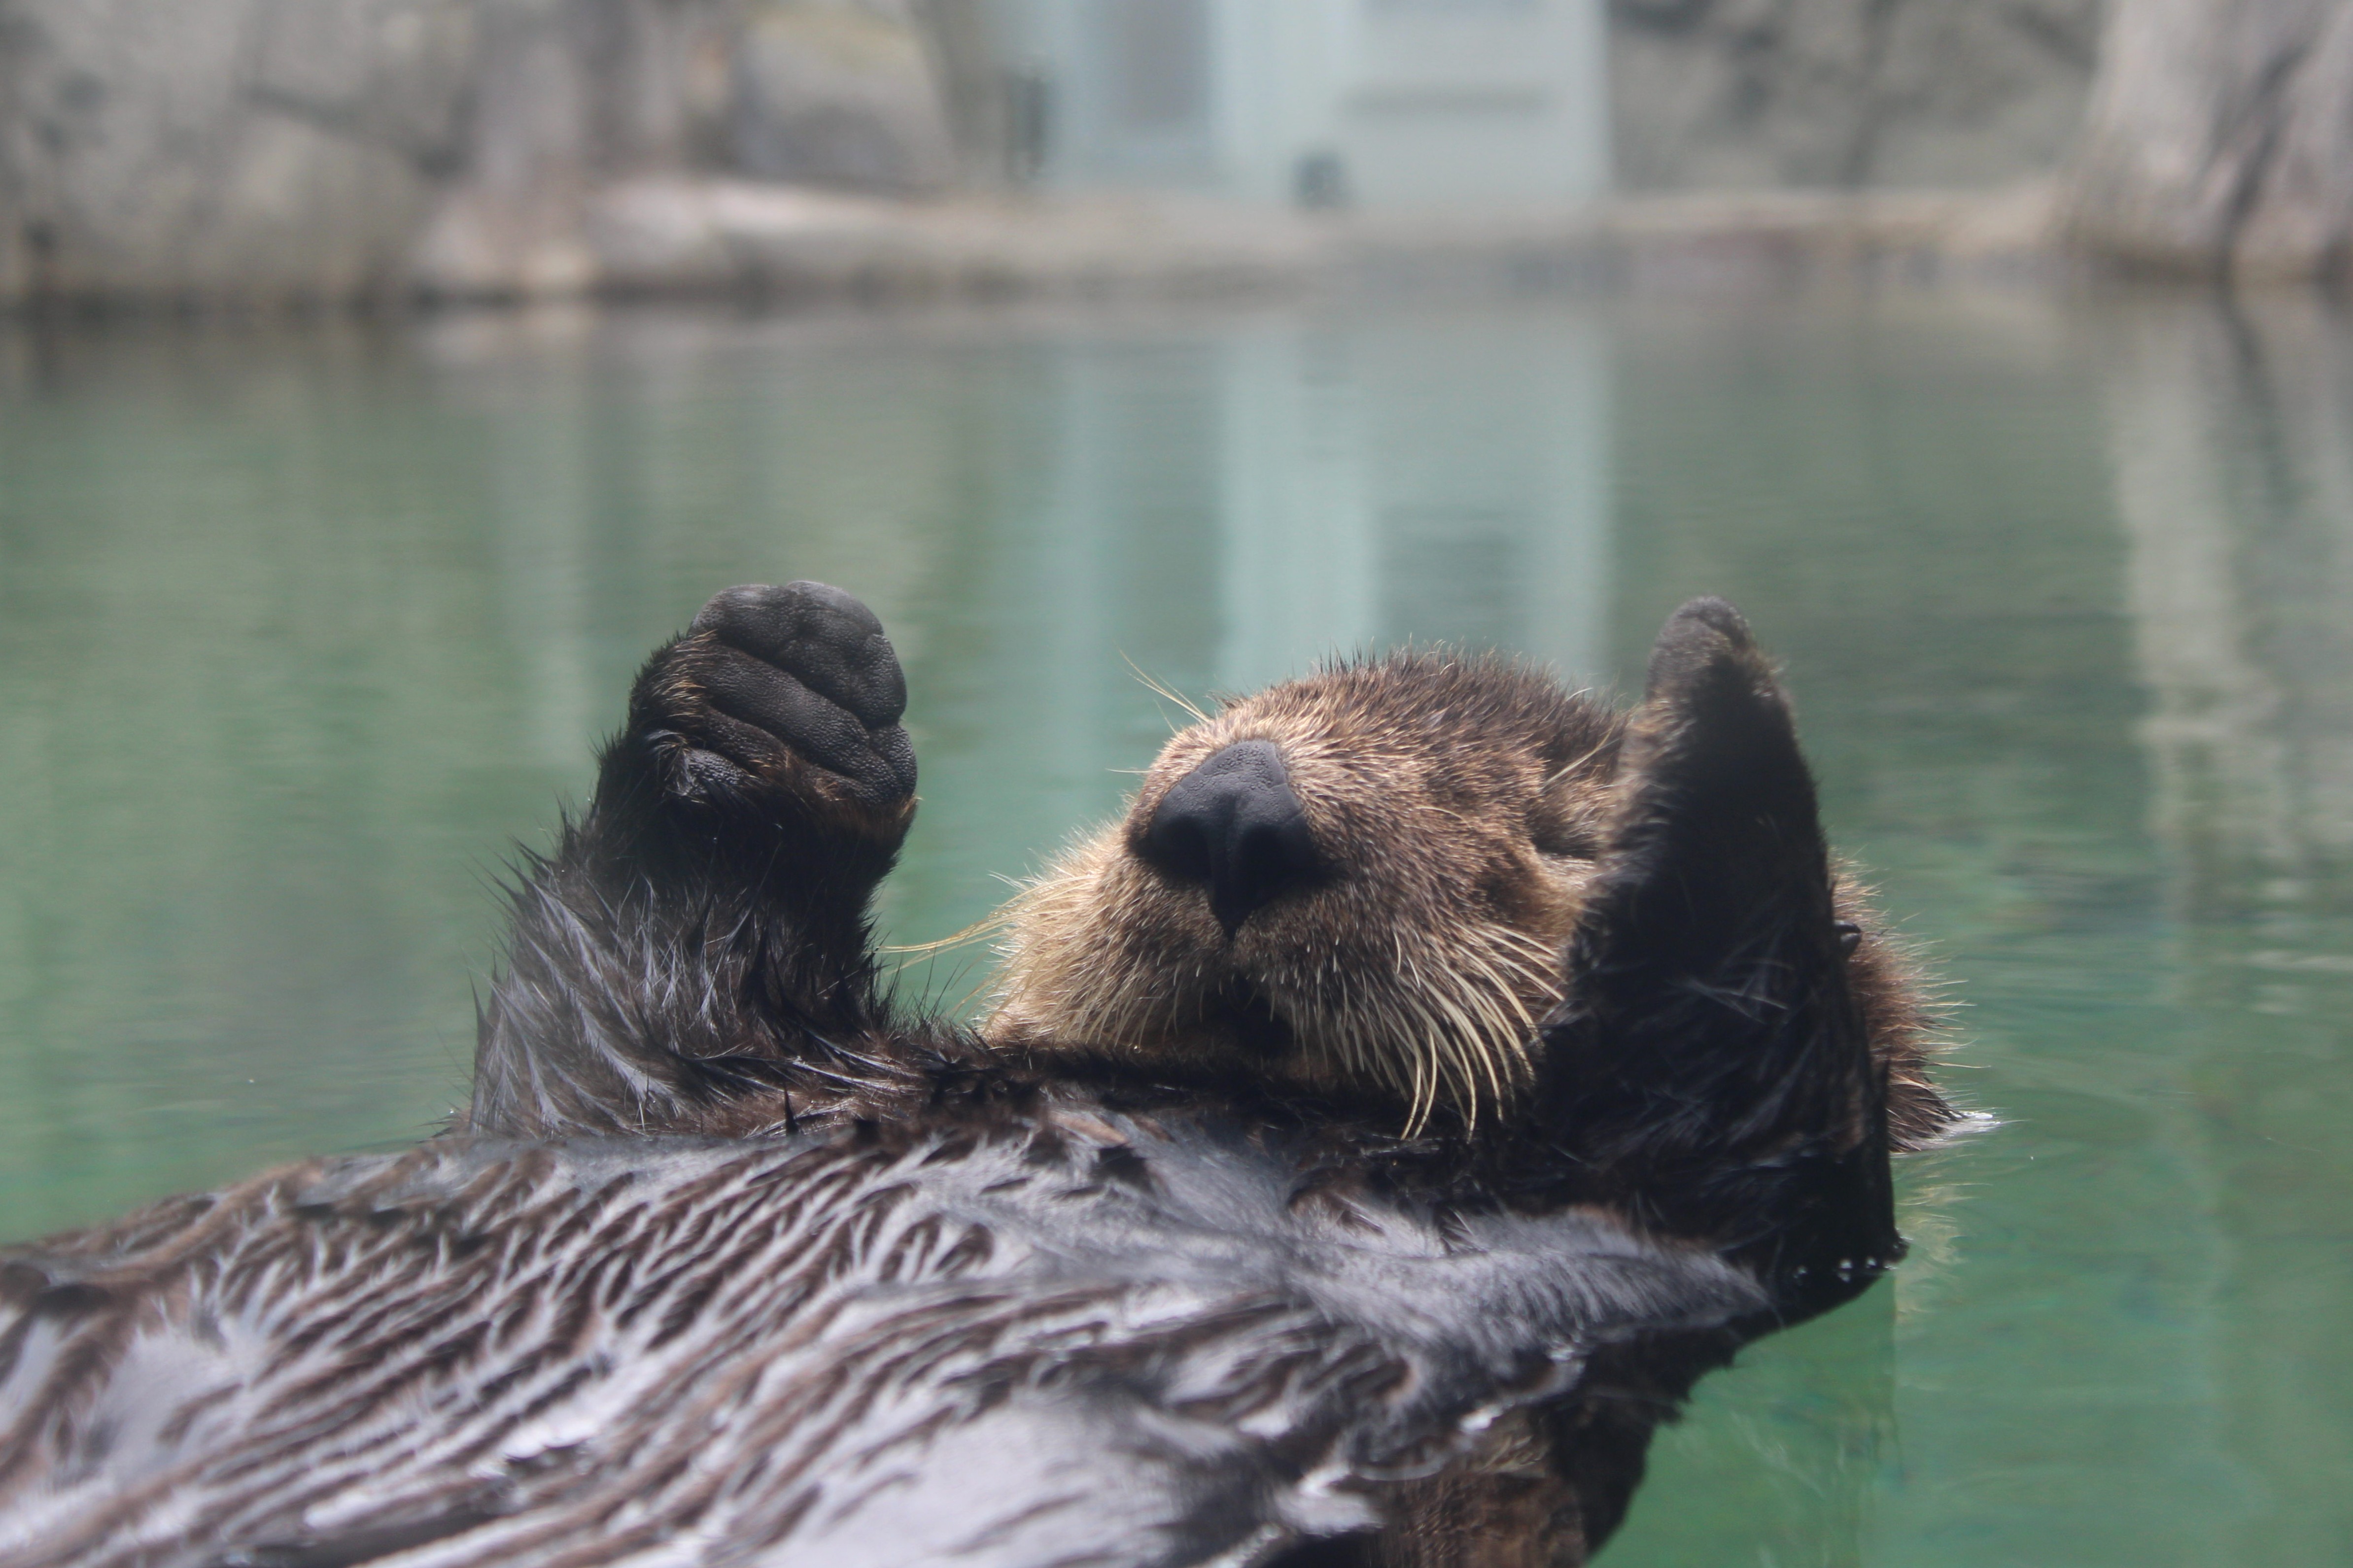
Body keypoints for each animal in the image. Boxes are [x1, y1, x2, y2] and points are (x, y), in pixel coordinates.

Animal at [0, 584, 1959, 1568]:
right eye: (1188, 746)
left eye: (1547, 837)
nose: (1231, 809)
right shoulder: (686, 1080)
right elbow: (631, 972)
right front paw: (778, 692)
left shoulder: (1692, 1229)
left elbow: (1761, 1077)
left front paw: (1715, 695)